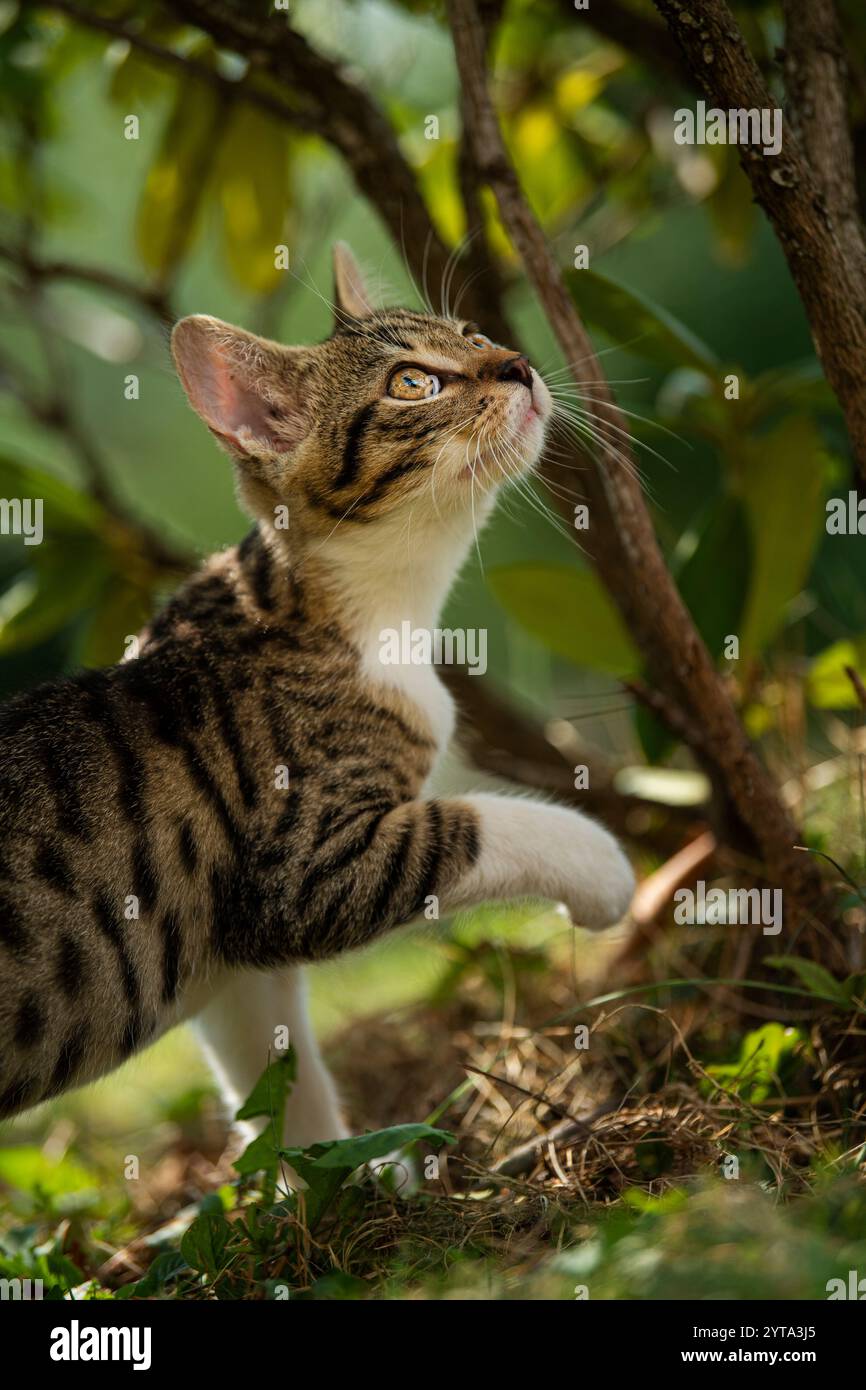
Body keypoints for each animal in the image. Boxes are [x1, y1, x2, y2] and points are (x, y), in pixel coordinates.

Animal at [1, 244, 636, 1145]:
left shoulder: (230, 967)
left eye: (472, 333)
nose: (515, 362)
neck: (370, 616)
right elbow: (468, 823)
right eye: (414, 383)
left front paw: (335, 1172)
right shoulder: (297, 872)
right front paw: (602, 867)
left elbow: (280, 1081)